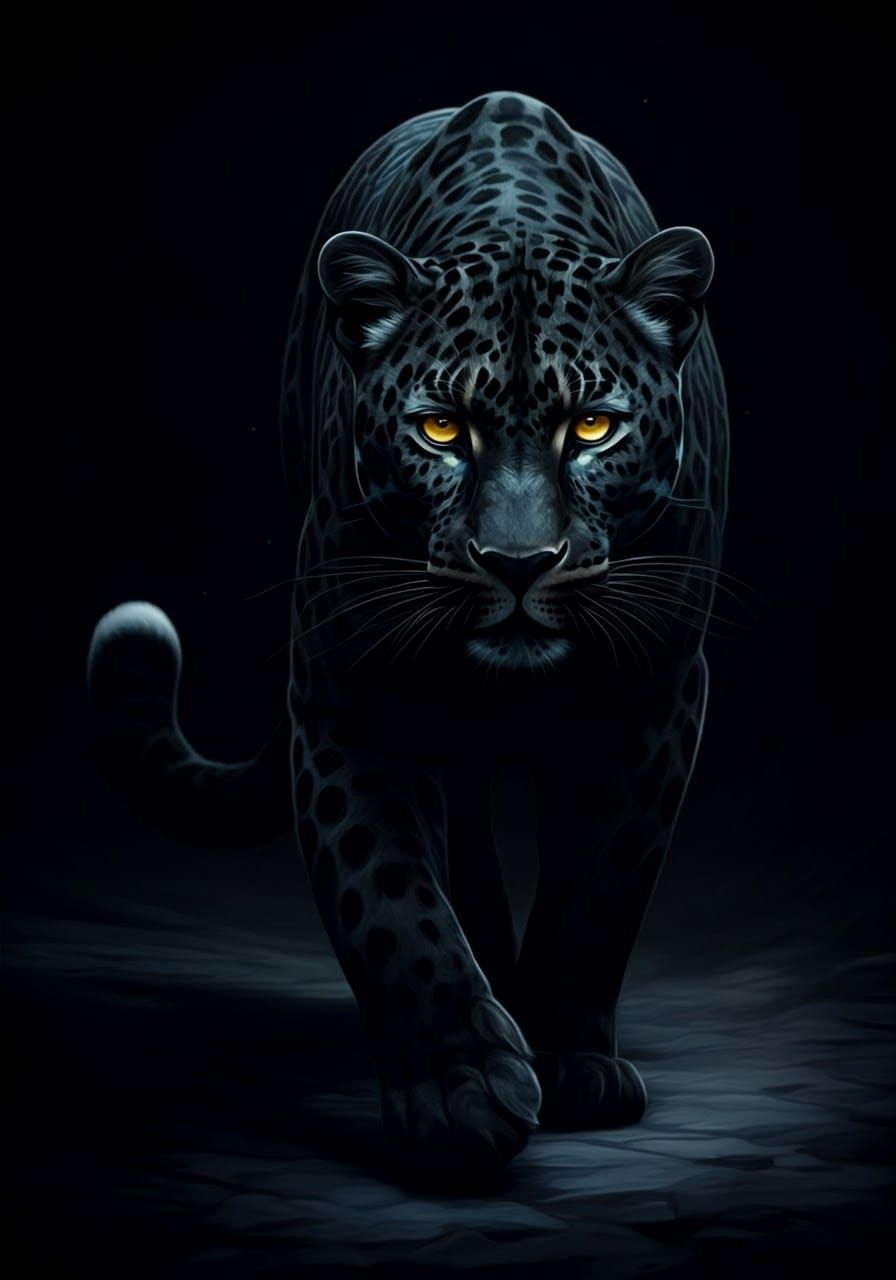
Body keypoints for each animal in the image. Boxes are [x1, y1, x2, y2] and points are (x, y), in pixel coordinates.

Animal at [88, 91, 729, 1176]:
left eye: (592, 427)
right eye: (439, 430)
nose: (518, 562)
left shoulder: (658, 687)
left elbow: (600, 883)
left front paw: (571, 1061)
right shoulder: (346, 689)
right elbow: (386, 888)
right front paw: (460, 1092)